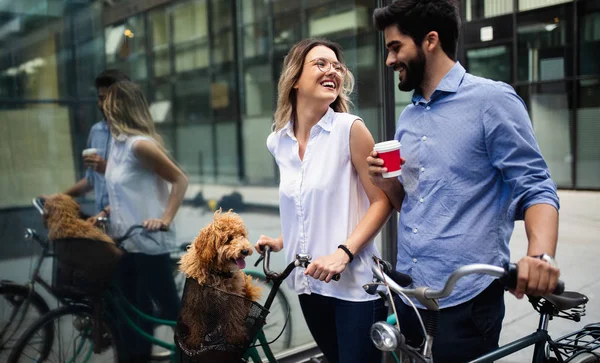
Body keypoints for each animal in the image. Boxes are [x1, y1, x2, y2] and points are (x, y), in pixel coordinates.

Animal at [178, 210, 262, 350]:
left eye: (242, 235)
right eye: (229, 239)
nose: (245, 250)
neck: (218, 272)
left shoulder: (233, 300)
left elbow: (233, 319)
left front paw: (235, 338)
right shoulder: (195, 301)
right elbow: (196, 322)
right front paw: (194, 340)